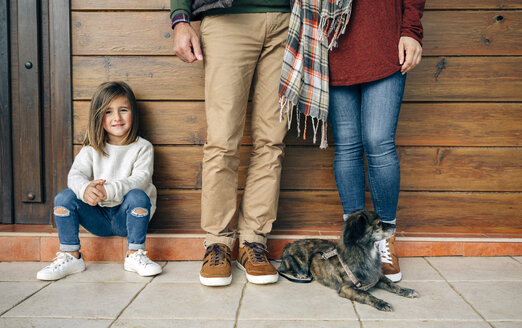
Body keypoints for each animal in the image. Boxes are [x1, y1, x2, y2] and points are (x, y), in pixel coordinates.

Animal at [278, 209, 416, 312]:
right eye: (378, 223)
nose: (395, 225)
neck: (366, 253)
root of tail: (288, 245)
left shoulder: (377, 276)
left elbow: (391, 283)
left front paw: (407, 290)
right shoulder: (346, 288)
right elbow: (366, 295)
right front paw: (381, 303)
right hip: (294, 261)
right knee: (284, 268)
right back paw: (300, 274)